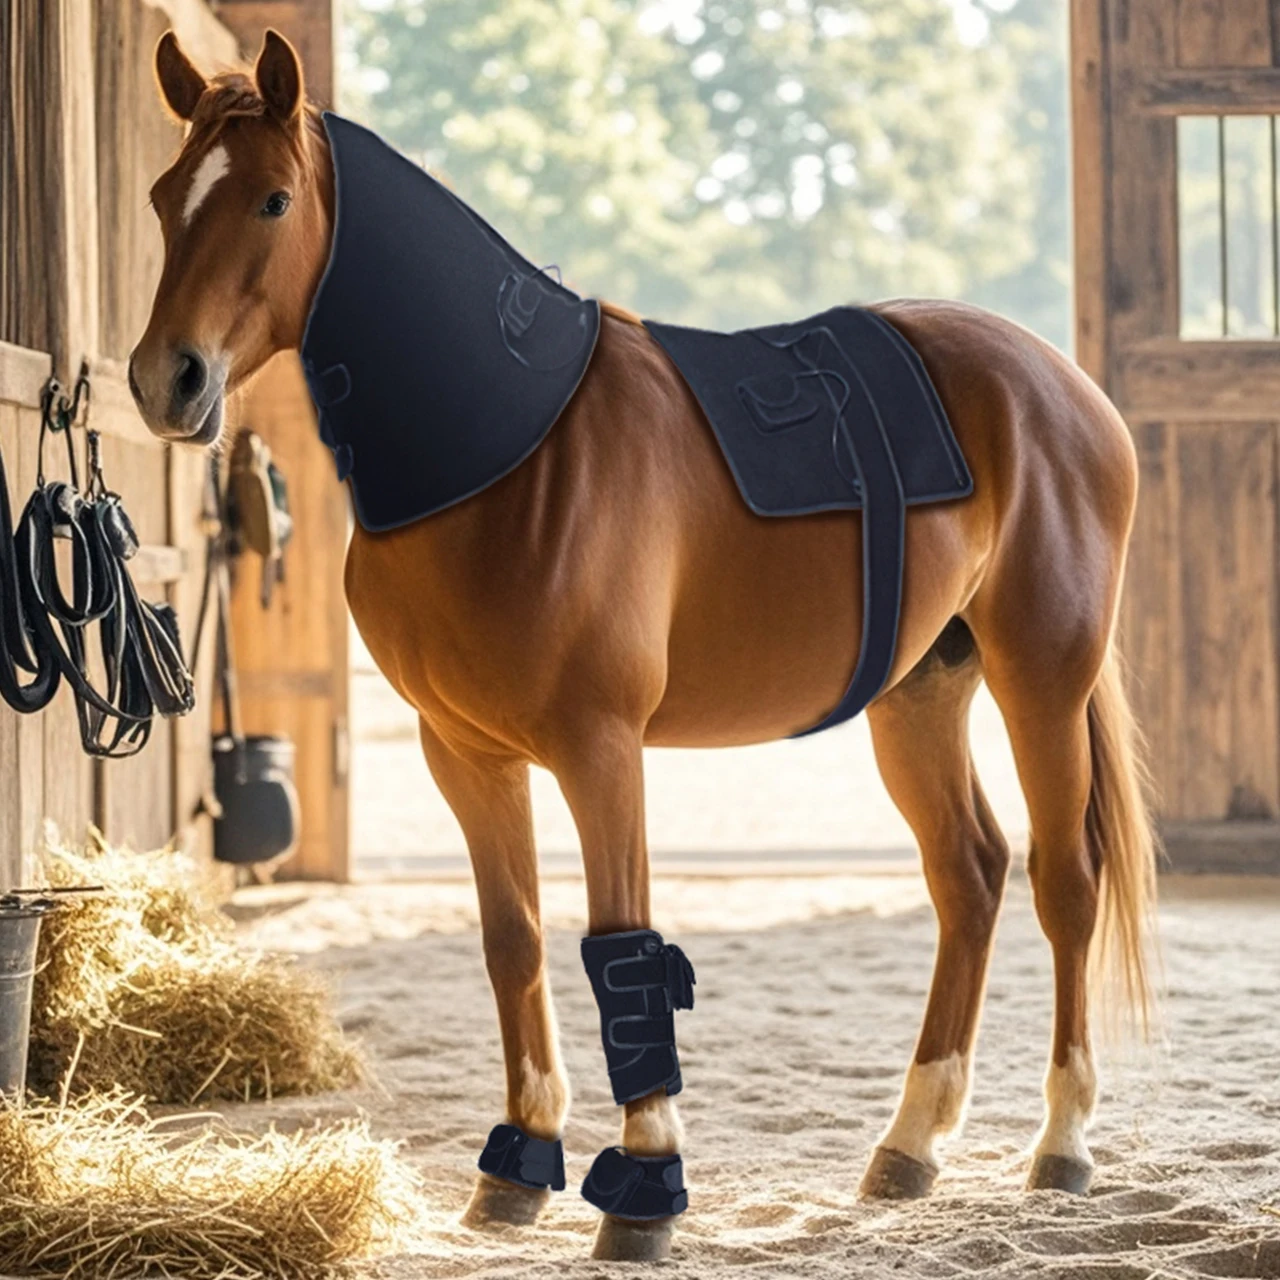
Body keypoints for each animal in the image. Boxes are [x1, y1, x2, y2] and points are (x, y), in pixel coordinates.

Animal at [130, 29, 1157, 1262]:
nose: (166, 379)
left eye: (274, 200)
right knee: (968, 873)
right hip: (919, 694)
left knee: (1065, 879)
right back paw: (908, 1144)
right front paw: (516, 1165)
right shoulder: (462, 753)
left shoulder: (600, 748)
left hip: (1040, 677)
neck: (508, 451)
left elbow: (620, 946)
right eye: (162, 198)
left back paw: (1061, 1142)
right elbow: (514, 939)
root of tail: (1064, 388)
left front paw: (644, 1187)